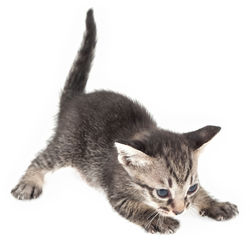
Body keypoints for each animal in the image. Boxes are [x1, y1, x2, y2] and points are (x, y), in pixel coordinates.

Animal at [11, 9, 238, 232]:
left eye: (191, 188)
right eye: (162, 192)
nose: (180, 211)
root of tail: (76, 98)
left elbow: (201, 195)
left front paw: (214, 204)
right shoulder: (117, 192)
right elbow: (138, 208)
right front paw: (162, 220)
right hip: (68, 145)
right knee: (41, 159)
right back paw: (29, 182)